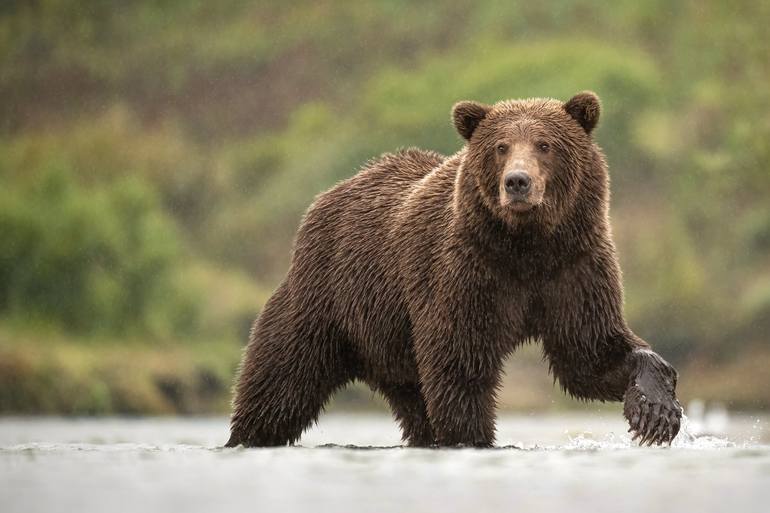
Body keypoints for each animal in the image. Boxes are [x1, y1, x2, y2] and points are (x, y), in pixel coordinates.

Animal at [225, 93, 680, 448]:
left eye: (544, 144)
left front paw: (656, 412)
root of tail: (328, 197)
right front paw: (473, 438)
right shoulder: (464, 271)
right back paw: (246, 436)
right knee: (280, 382)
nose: (517, 182)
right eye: (500, 146)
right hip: (327, 301)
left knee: (413, 401)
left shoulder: (573, 267)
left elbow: (588, 352)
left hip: (393, 344)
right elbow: (460, 363)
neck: (526, 247)